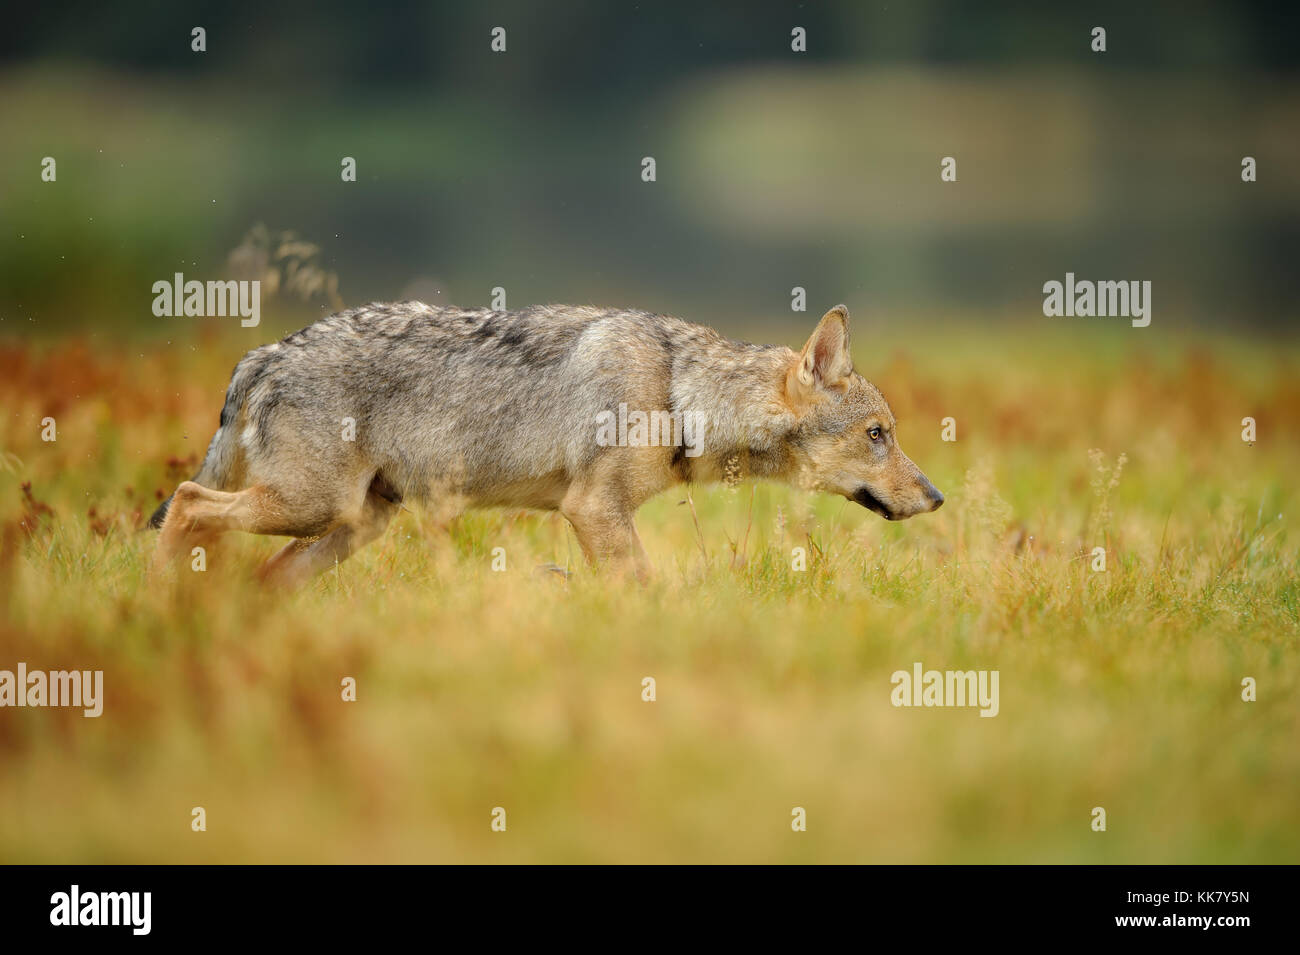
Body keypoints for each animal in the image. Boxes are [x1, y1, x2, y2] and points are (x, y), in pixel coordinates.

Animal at [150, 302, 943, 584]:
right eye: (878, 435)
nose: (936, 496)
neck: (678, 394)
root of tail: (262, 354)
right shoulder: (592, 509)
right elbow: (643, 587)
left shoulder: (596, 517)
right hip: (309, 507)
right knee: (185, 502)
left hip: (350, 524)